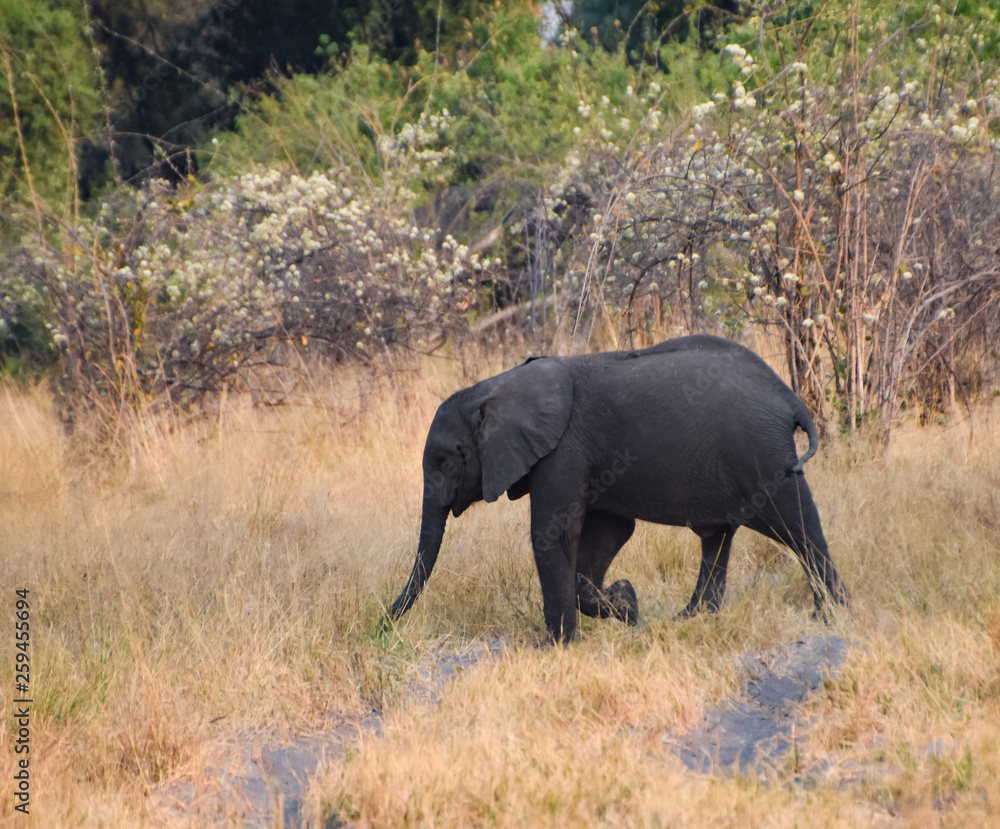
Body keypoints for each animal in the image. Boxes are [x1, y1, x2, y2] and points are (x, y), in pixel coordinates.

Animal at [389, 334, 849, 642]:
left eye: (446, 462)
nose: (384, 620)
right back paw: (690, 620)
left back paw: (832, 617)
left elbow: (553, 534)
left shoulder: (562, 449)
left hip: (763, 455)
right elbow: (608, 533)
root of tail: (790, 399)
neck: (494, 388)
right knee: (717, 538)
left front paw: (558, 648)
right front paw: (627, 604)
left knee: (798, 527)